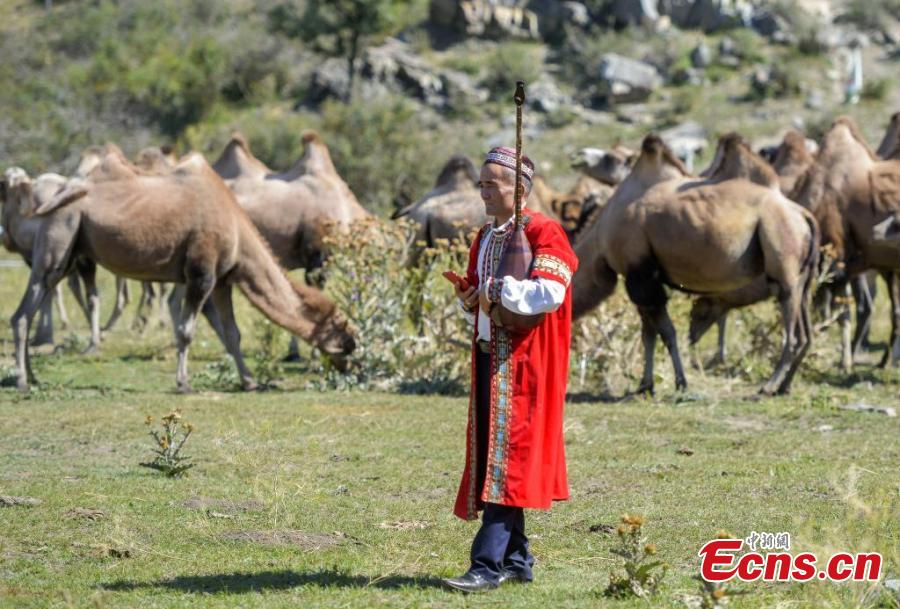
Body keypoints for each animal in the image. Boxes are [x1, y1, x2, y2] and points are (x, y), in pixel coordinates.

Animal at [10, 150, 356, 392]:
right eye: (344, 332)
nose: (352, 363)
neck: (237, 229)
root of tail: (57, 194)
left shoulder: (222, 281)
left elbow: (232, 333)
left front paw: (249, 381)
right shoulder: (201, 274)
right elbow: (187, 330)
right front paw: (184, 383)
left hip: (71, 249)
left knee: (26, 310)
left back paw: (33, 377)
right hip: (62, 232)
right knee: (25, 312)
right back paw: (24, 381)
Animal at [572, 134, 820, 394]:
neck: (600, 239)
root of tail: (804, 215)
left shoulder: (640, 273)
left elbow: (666, 332)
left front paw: (681, 382)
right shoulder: (638, 277)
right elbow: (648, 333)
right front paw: (645, 385)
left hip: (783, 257)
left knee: (793, 331)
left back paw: (769, 386)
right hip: (803, 277)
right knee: (806, 333)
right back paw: (785, 386)